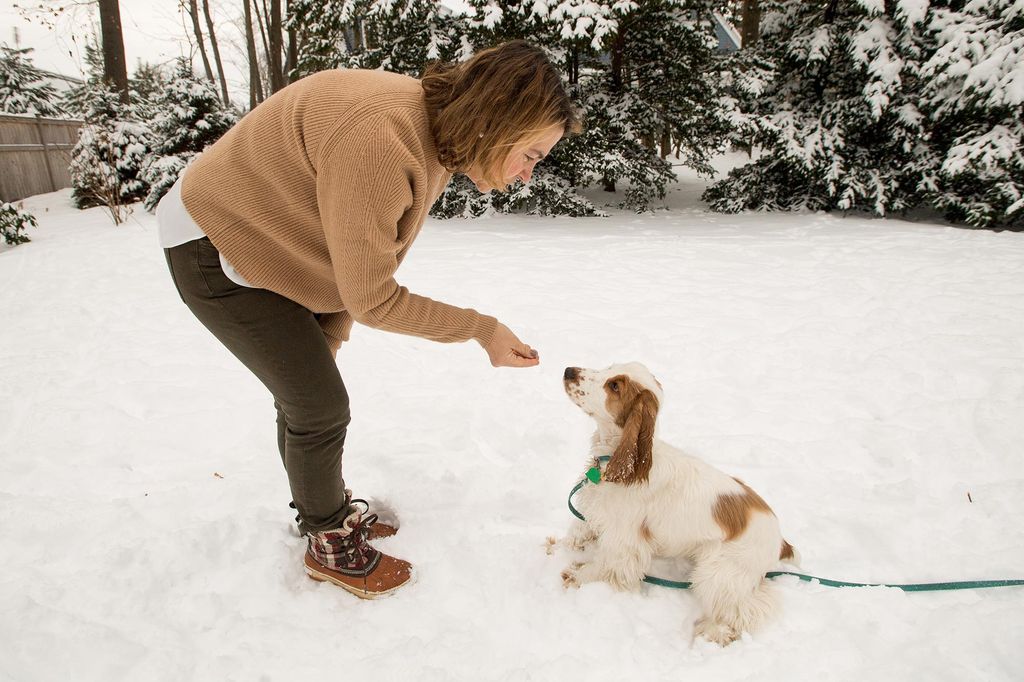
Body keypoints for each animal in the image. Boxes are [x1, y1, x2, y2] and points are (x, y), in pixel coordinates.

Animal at [557, 360, 794, 643]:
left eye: (614, 386)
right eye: (609, 367)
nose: (569, 370)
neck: (621, 463)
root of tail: (781, 541)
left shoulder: (624, 542)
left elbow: (606, 565)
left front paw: (577, 575)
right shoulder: (595, 511)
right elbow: (578, 531)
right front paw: (556, 546)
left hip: (718, 571)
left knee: (747, 609)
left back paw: (712, 632)